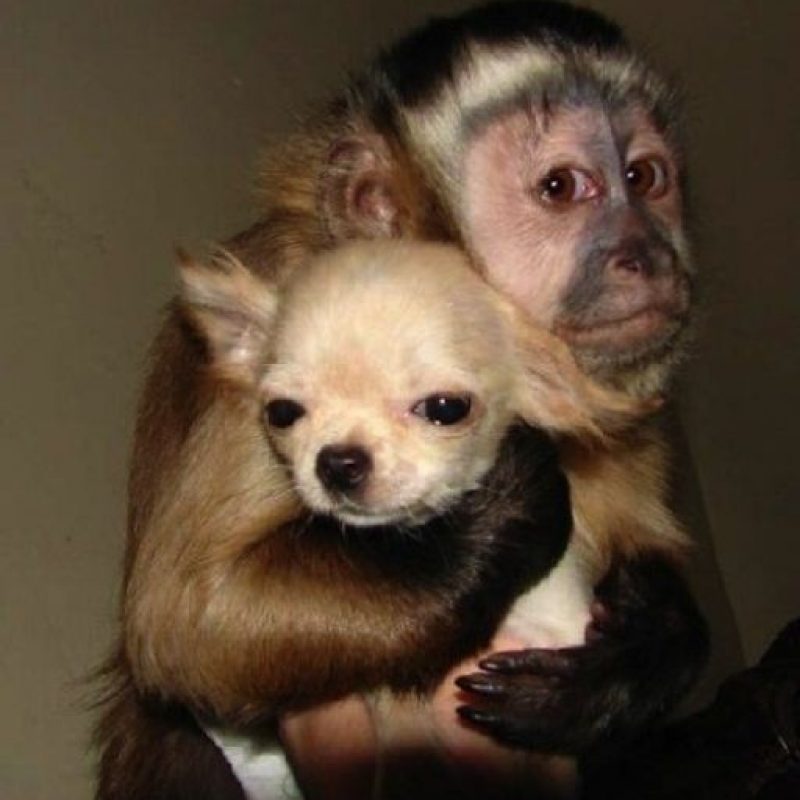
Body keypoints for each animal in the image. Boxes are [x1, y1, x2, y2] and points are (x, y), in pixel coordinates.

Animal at [95, 1, 708, 797]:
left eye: (645, 177)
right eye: (561, 188)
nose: (649, 254)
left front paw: (650, 646)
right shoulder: (290, 286)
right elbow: (192, 622)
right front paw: (503, 520)